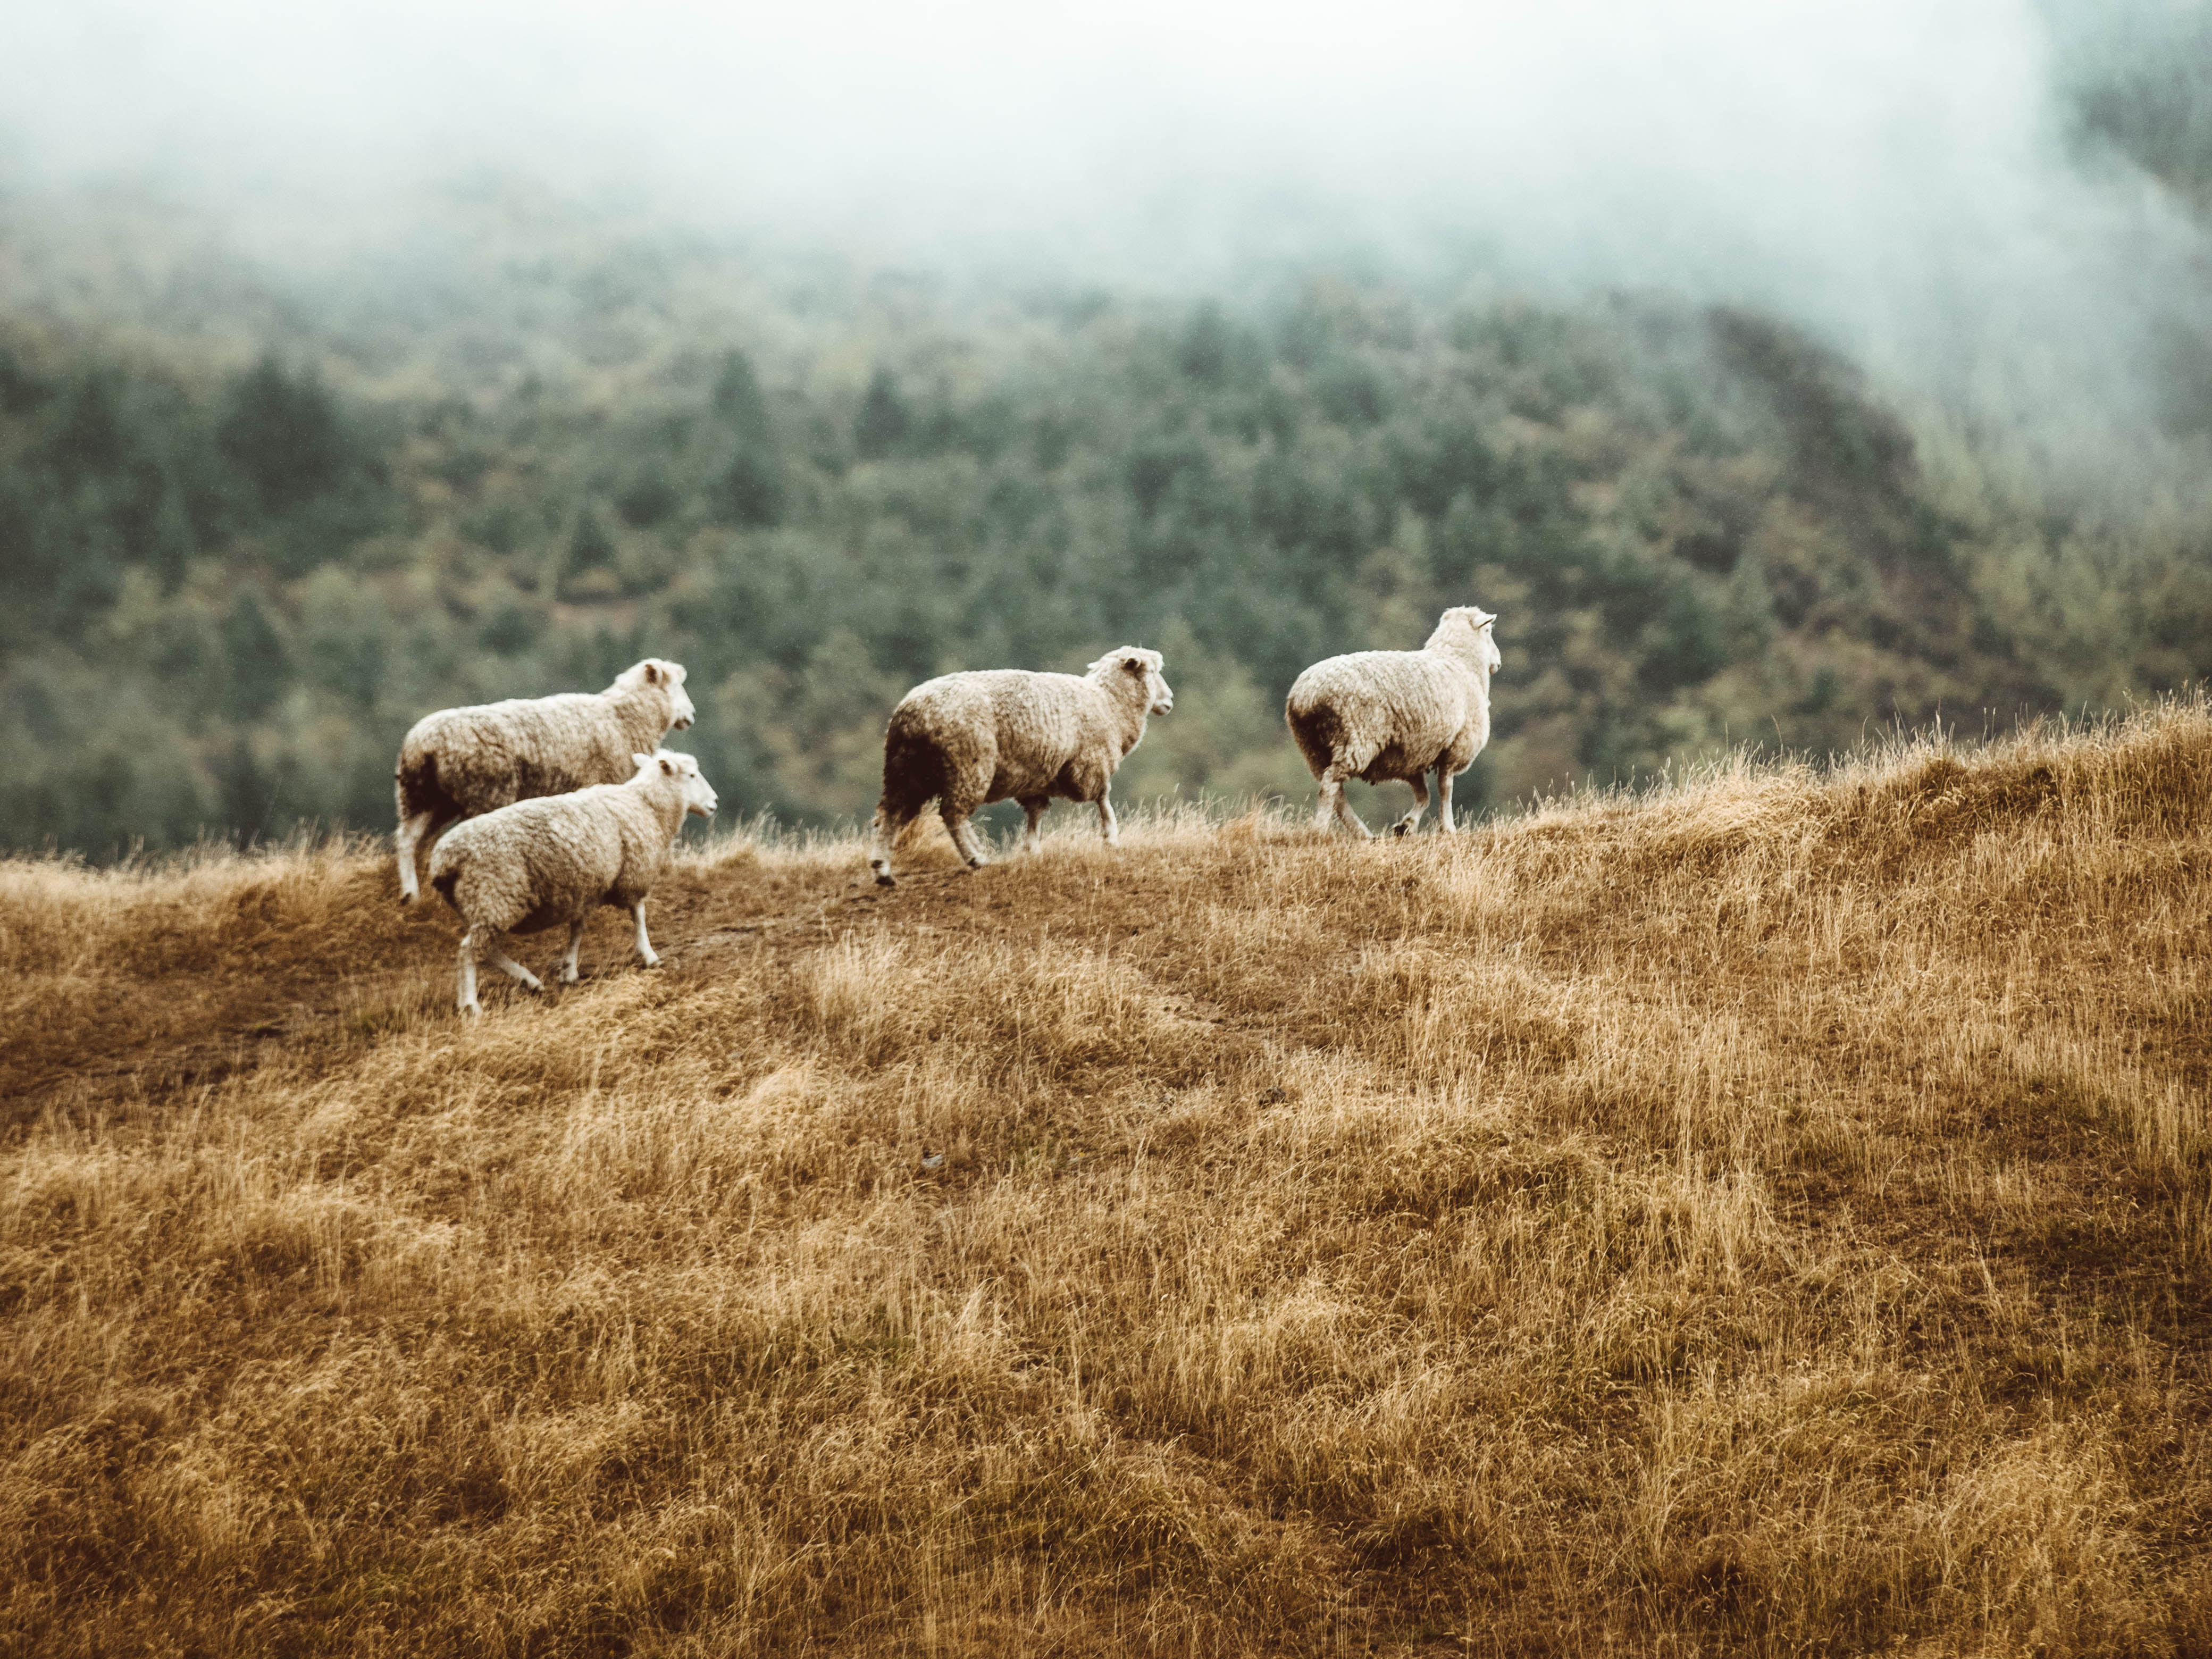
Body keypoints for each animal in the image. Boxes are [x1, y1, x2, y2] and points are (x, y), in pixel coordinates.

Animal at [391, 655, 690, 902]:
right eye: (676, 687)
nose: (692, 715)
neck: (623, 718)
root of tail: (422, 744)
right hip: (483, 793)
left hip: (423, 796)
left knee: (408, 838)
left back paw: (411, 895)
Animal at [422, 752, 716, 1013]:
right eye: (692, 775)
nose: (714, 802)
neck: (646, 805)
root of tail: (445, 859)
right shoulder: (633, 873)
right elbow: (639, 914)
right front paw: (649, 954)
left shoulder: (587, 886)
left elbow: (578, 928)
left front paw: (569, 970)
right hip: (494, 896)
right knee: (468, 951)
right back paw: (471, 1005)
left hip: (479, 904)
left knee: (487, 949)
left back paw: (529, 981)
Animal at [862, 650, 1177, 889]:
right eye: (1152, 671)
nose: (1170, 700)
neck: (1110, 703)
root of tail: (911, 713)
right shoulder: (1092, 762)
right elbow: (1103, 799)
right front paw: (1111, 837)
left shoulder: (1038, 778)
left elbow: (1035, 814)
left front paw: (1031, 850)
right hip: (968, 765)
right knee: (953, 814)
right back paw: (976, 857)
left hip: (905, 771)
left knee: (891, 813)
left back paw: (882, 869)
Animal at [1283, 606, 1504, 836]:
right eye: (1488, 630)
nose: (1498, 662)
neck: (1460, 661)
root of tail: (1307, 695)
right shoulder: (1456, 746)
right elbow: (1445, 789)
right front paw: (1448, 828)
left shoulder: (1413, 755)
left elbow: (1424, 795)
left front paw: (1406, 826)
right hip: (1356, 739)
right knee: (1330, 784)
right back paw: (1320, 829)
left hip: (1312, 748)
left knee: (1336, 792)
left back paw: (1363, 833)